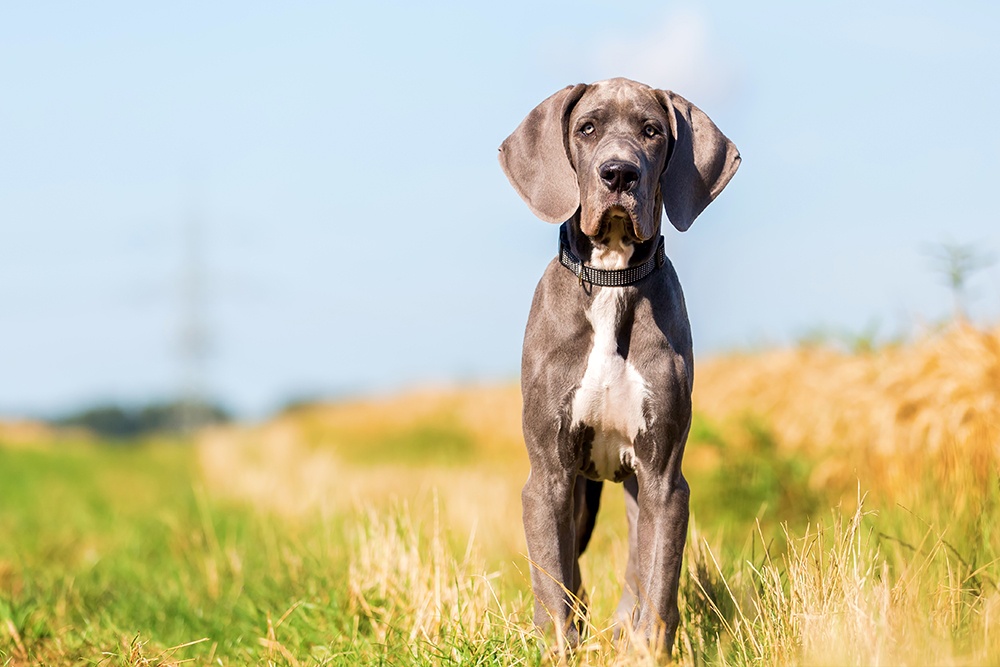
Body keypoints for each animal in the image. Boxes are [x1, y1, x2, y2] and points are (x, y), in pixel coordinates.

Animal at [496, 77, 740, 652]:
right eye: (587, 128)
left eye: (652, 131)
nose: (619, 173)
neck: (611, 276)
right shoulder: (549, 475)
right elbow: (554, 591)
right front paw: (560, 648)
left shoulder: (664, 478)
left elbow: (657, 586)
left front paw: (646, 650)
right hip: (579, 497)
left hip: (633, 488)